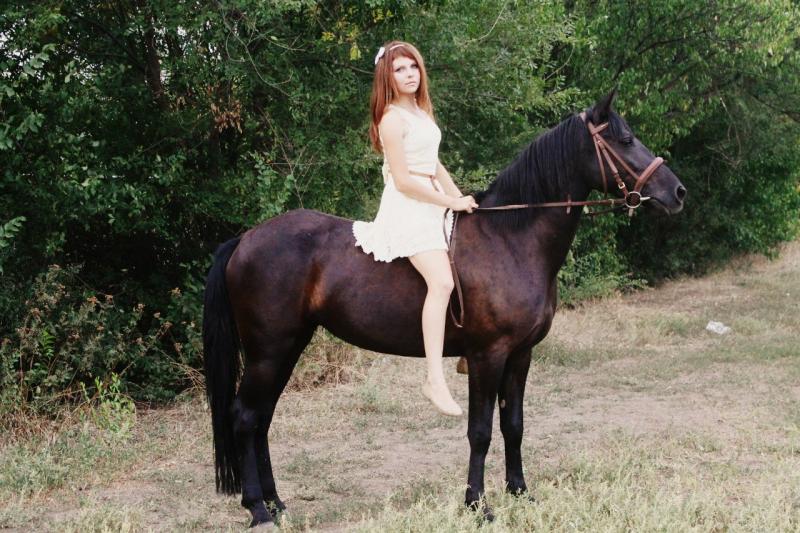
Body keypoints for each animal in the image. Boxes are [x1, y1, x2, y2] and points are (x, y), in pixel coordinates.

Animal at [202, 90, 686, 527]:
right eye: (625, 139)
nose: (677, 192)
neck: (509, 238)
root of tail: (245, 239)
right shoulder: (487, 356)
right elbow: (480, 431)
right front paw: (478, 505)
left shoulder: (521, 355)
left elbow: (514, 425)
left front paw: (521, 493)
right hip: (269, 351)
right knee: (245, 418)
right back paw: (258, 509)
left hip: (286, 348)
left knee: (261, 420)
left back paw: (277, 504)